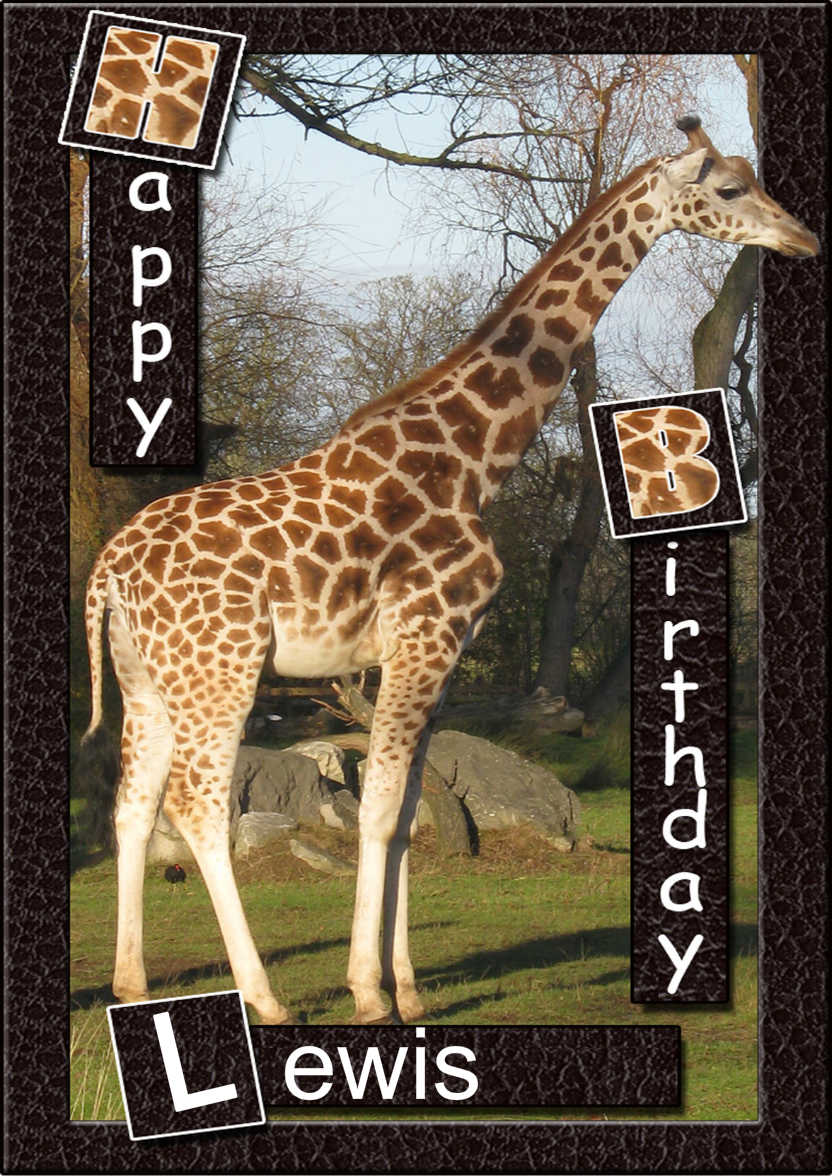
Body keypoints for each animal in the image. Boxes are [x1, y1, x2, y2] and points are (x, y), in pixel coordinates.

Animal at [82, 116, 818, 1025]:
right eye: (728, 188)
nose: (803, 238)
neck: (474, 459)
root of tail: (108, 568)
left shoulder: (443, 651)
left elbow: (405, 819)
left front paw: (409, 992)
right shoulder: (423, 636)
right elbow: (375, 813)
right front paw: (368, 994)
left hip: (148, 675)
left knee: (132, 804)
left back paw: (132, 985)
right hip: (220, 669)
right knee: (199, 805)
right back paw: (267, 1000)